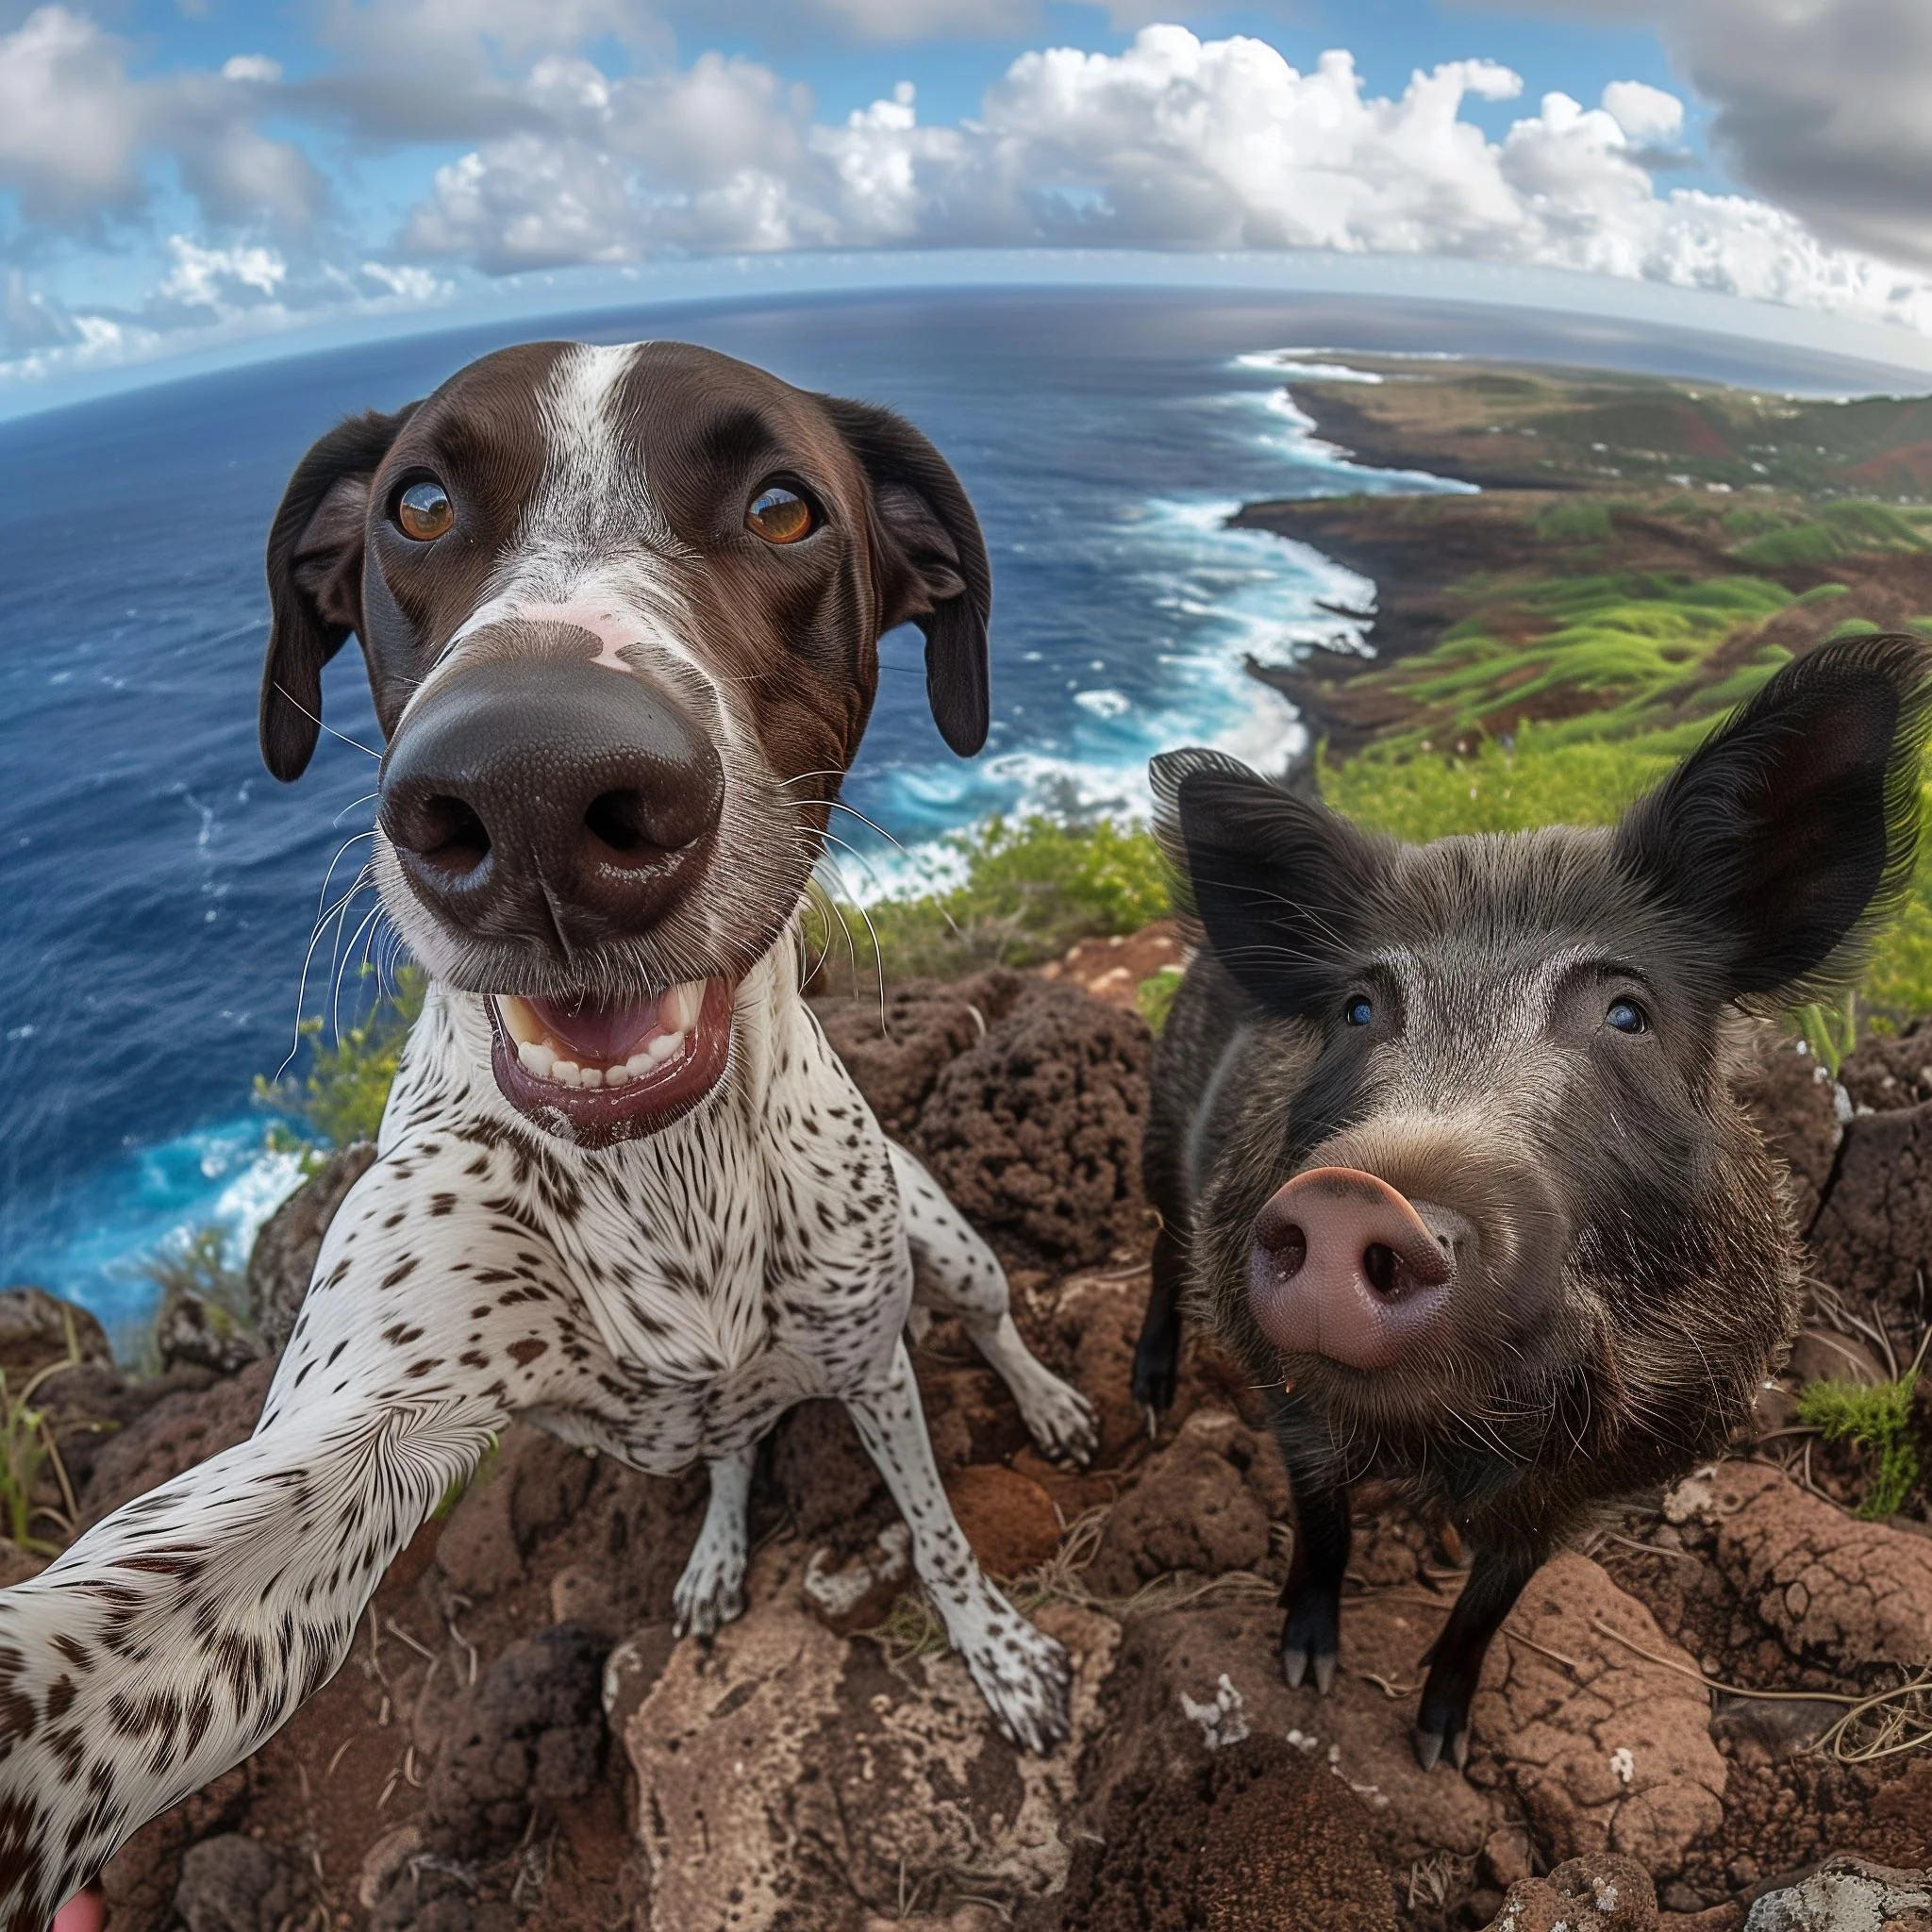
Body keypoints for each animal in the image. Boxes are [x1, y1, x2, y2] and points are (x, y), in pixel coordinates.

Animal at [0, 340, 1097, 1924]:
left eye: (784, 509)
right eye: (418, 506)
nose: (531, 791)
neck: (668, 1172)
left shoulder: (870, 1357)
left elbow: (938, 1532)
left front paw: (998, 1654)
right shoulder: (367, 1421)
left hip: (941, 1240)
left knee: (990, 1318)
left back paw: (1049, 1399)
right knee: (731, 1454)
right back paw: (715, 1553)